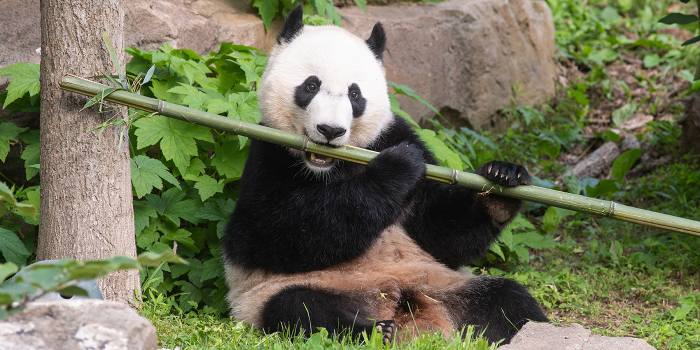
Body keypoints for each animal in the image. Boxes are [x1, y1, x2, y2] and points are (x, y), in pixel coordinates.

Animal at [221, 5, 548, 344]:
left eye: (355, 94)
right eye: (310, 86)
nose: (330, 130)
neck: (333, 167)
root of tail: (407, 312)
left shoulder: (392, 134)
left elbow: (441, 234)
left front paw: (503, 179)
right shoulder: (267, 154)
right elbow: (270, 234)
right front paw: (398, 167)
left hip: (446, 284)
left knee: (507, 301)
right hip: (277, 295)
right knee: (300, 309)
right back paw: (374, 330)